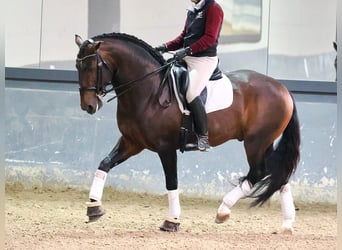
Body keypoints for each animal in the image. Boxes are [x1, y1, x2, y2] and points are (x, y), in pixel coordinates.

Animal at [74, 32, 300, 233]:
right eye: (77, 66)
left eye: (92, 66)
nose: (88, 106)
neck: (148, 90)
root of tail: (283, 88)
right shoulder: (132, 142)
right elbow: (105, 163)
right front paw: (94, 207)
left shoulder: (165, 147)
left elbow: (171, 181)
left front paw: (172, 221)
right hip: (265, 142)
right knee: (279, 175)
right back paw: (287, 224)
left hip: (255, 142)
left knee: (259, 172)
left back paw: (223, 211)